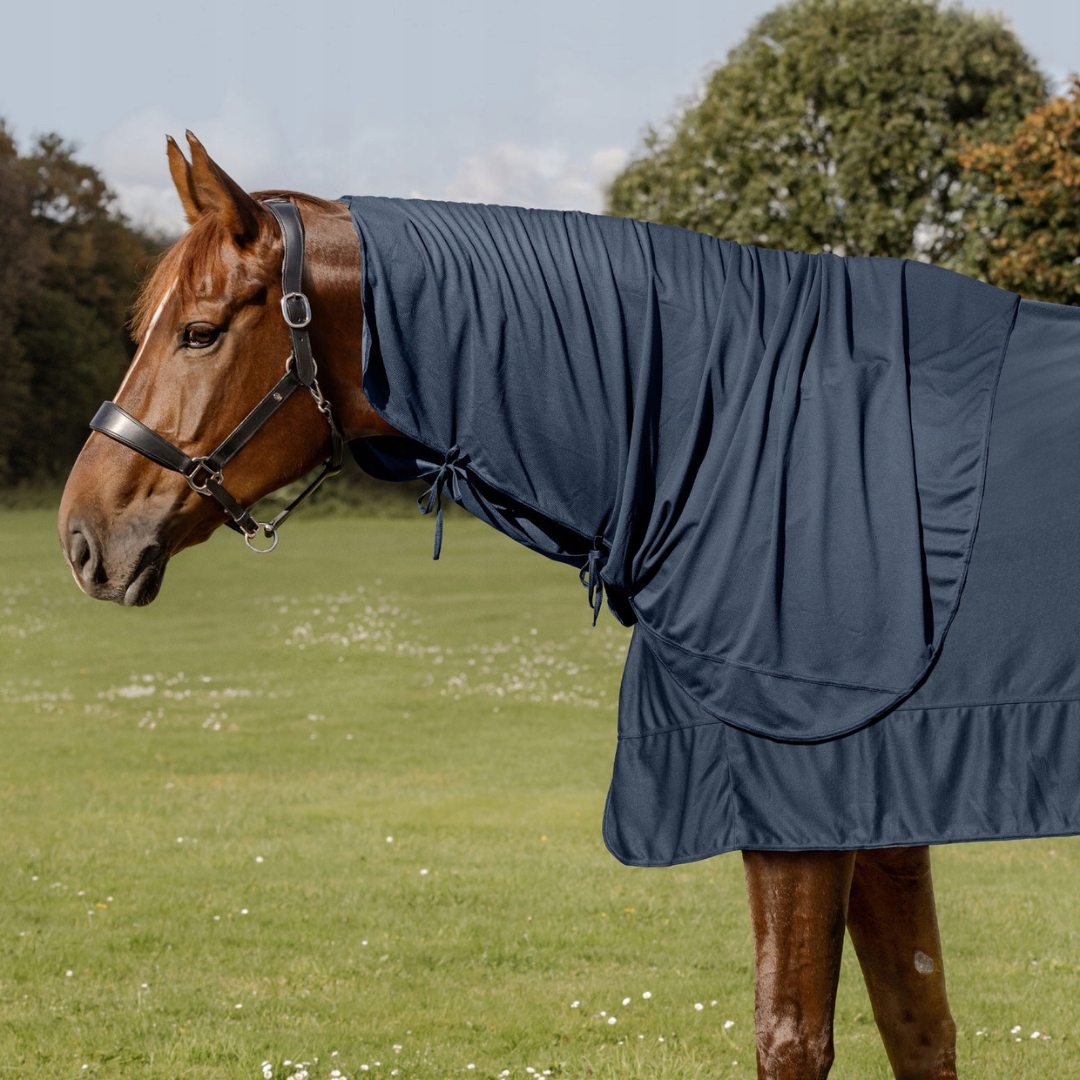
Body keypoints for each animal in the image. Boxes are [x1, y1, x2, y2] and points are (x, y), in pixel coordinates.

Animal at [59, 133, 983, 1080]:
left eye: (199, 333)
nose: (83, 535)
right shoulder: (882, 812)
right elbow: (919, 1022)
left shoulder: (806, 808)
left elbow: (795, 1034)